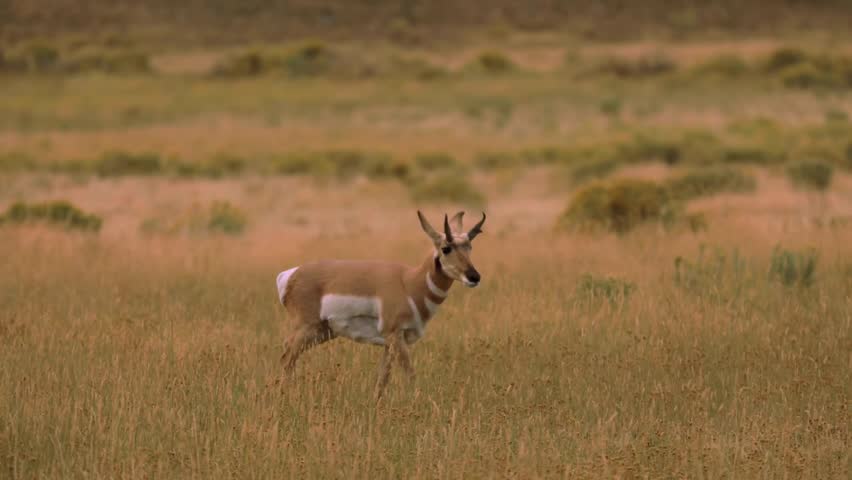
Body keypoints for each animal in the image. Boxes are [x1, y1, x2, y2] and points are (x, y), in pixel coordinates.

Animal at [275, 210, 486, 400]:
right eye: (446, 248)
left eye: (469, 246)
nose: (474, 277)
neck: (409, 283)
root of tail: (291, 274)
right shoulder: (395, 336)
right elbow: (410, 374)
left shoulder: (389, 343)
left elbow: (382, 379)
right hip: (307, 329)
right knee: (286, 358)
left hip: (322, 332)